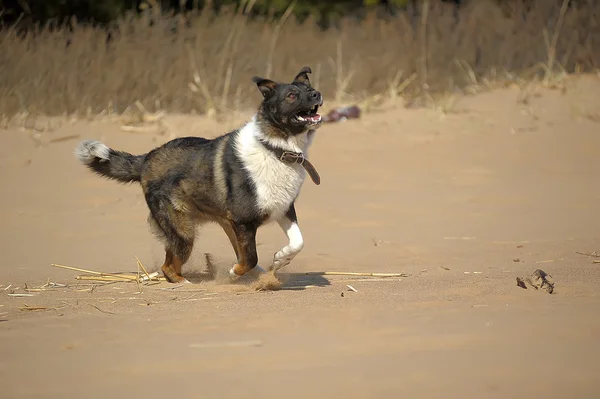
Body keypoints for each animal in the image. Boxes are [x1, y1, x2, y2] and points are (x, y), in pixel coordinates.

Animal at [74, 66, 324, 284]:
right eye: (292, 95)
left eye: (309, 88)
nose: (317, 94)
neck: (275, 148)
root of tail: (146, 159)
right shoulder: (243, 221)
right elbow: (250, 258)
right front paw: (235, 273)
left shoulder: (283, 208)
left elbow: (297, 242)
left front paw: (281, 259)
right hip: (184, 230)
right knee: (169, 265)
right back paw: (186, 282)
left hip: (212, 224)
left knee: (175, 259)